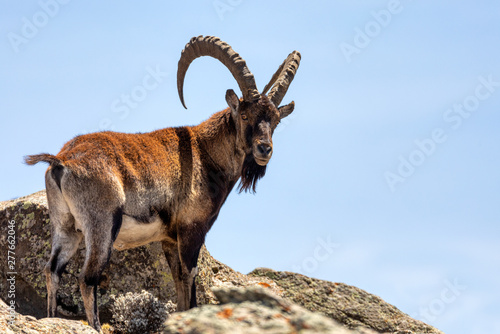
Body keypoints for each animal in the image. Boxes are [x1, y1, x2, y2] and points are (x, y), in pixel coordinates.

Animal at [25, 34, 298, 332]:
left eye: (275, 121)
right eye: (246, 115)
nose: (264, 149)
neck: (205, 153)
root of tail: (62, 161)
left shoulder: (168, 238)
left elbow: (178, 284)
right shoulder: (192, 230)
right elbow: (190, 281)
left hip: (66, 226)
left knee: (52, 270)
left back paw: (51, 317)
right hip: (101, 225)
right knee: (87, 278)